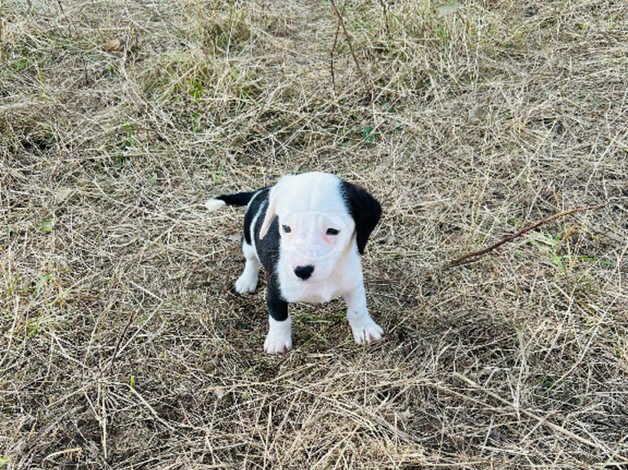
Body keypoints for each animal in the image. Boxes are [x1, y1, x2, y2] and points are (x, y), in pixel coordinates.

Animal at [206, 172, 382, 352]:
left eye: (332, 231)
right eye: (286, 228)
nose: (301, 270)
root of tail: (262, 191)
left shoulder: (353, 282)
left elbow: (358, 309)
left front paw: (364, 329)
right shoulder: (275, 288)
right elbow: (278, 316)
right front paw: (277, 340)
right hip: (248, 241)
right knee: (251, 260)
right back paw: (247, 280)